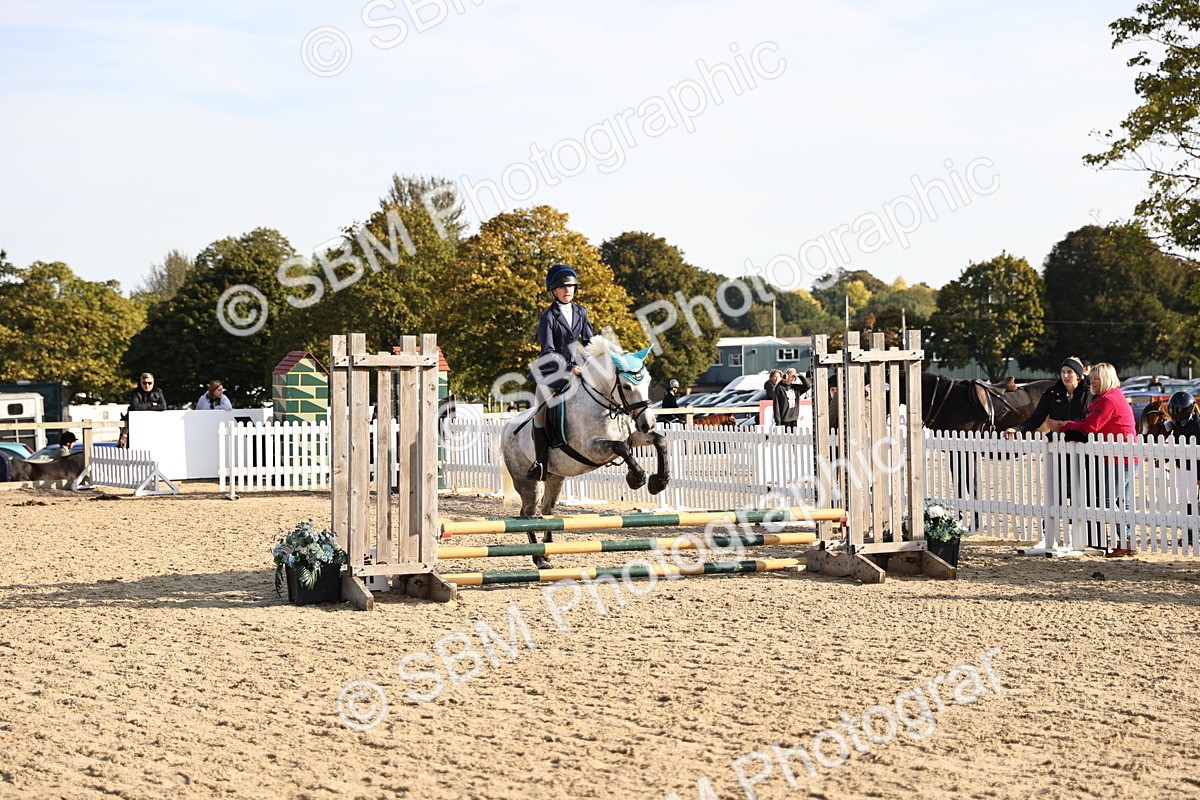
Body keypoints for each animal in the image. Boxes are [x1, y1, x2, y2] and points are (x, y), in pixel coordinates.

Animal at [501, 336, 670, 568]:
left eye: (648, 382)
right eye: (626, 386)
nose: (648, 423)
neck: (604, 404)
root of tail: (508, 426)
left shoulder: (631, 437)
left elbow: (658, 441)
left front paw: (658, 481)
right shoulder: (592, 449)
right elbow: (622, 448)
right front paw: (637, 478)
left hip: (555, 478)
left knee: (546, 511)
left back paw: (546, 552)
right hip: (527, 483)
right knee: (528, 513)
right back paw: (538, 558)